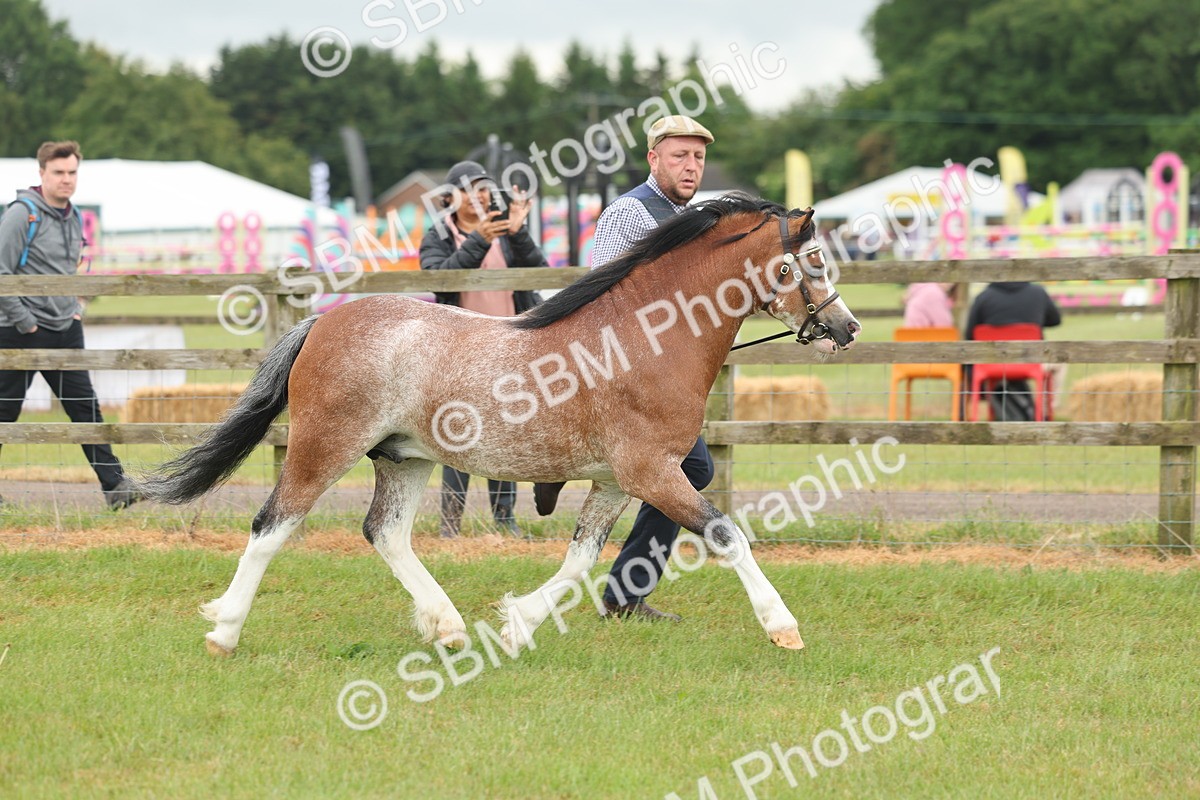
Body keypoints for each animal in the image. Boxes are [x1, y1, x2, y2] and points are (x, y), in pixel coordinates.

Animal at [138, 193, 860, 657]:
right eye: (812, 261)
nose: (847, 327)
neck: (647, 337)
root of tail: (324, 321)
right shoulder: (651, 472)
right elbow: (725, 534)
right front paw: (783, 627)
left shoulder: (615, 481)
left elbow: (579, 559)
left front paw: (516, 625)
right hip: (324, 447)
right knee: (272, 525)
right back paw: (224, 631)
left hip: (404, 458)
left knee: (385, 534)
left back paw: (449, 626)